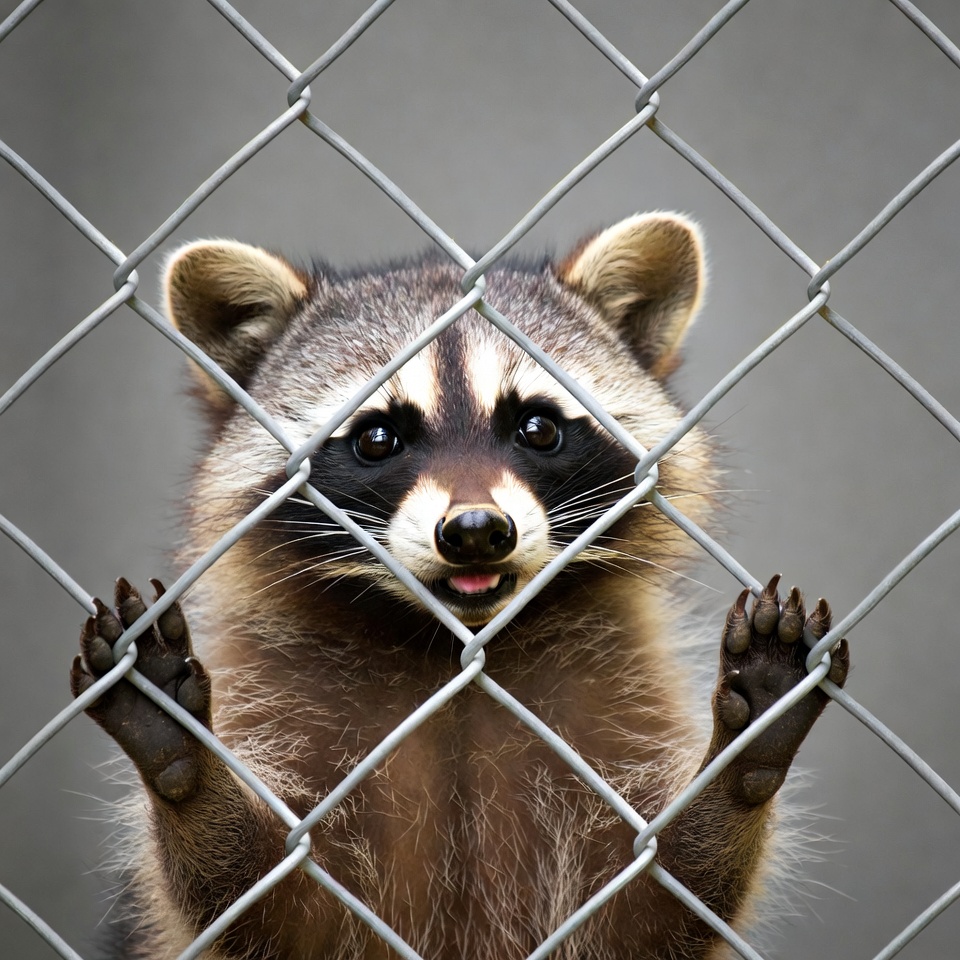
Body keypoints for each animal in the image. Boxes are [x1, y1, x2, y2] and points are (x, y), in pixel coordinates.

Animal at [71, 213, 849, 959]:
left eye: (537, 426)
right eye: (377, 438)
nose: (476, 530)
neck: (452, 648)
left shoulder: (621, 710)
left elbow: (652, 906)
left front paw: (742, 760)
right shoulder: (283, 711)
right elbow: (270, 908)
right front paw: (188, 770)